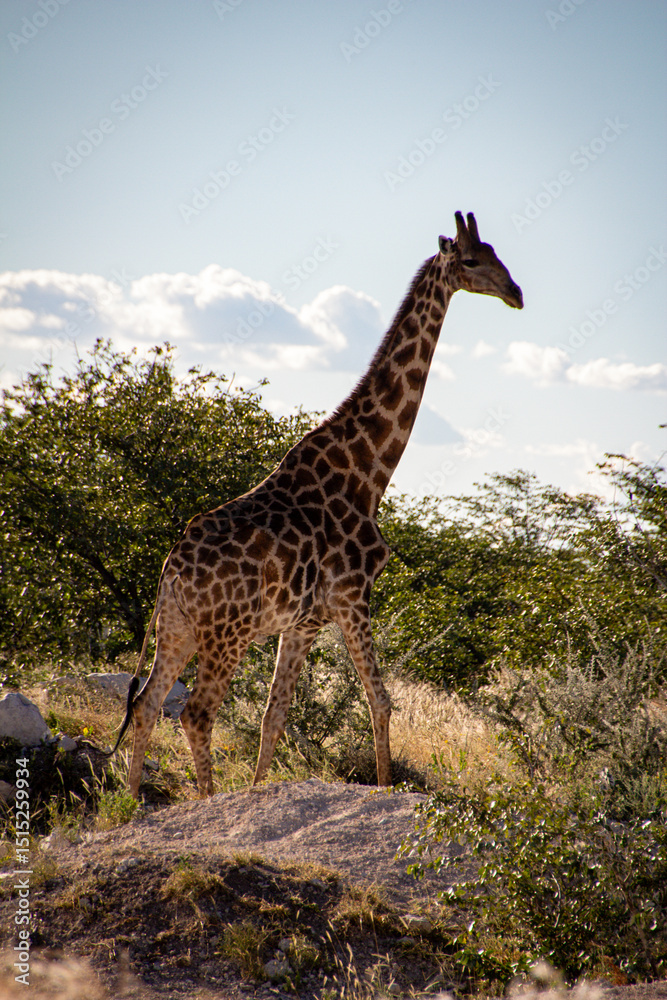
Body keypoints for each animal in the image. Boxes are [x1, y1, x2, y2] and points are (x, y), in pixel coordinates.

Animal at [110, 211, 523, 798]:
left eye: (496, 254)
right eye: (471, 260)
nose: (516, 293)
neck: (368, 473)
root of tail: (172, 571)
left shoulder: (303, 622)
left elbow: (274, 715)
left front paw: (259, 793)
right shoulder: (353, 597)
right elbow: (380, 702)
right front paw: (384, 786)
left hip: (178, 628)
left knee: (146, 706)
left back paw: (129, 804)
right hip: (227, 632)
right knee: (195, 712)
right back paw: (206, 802)